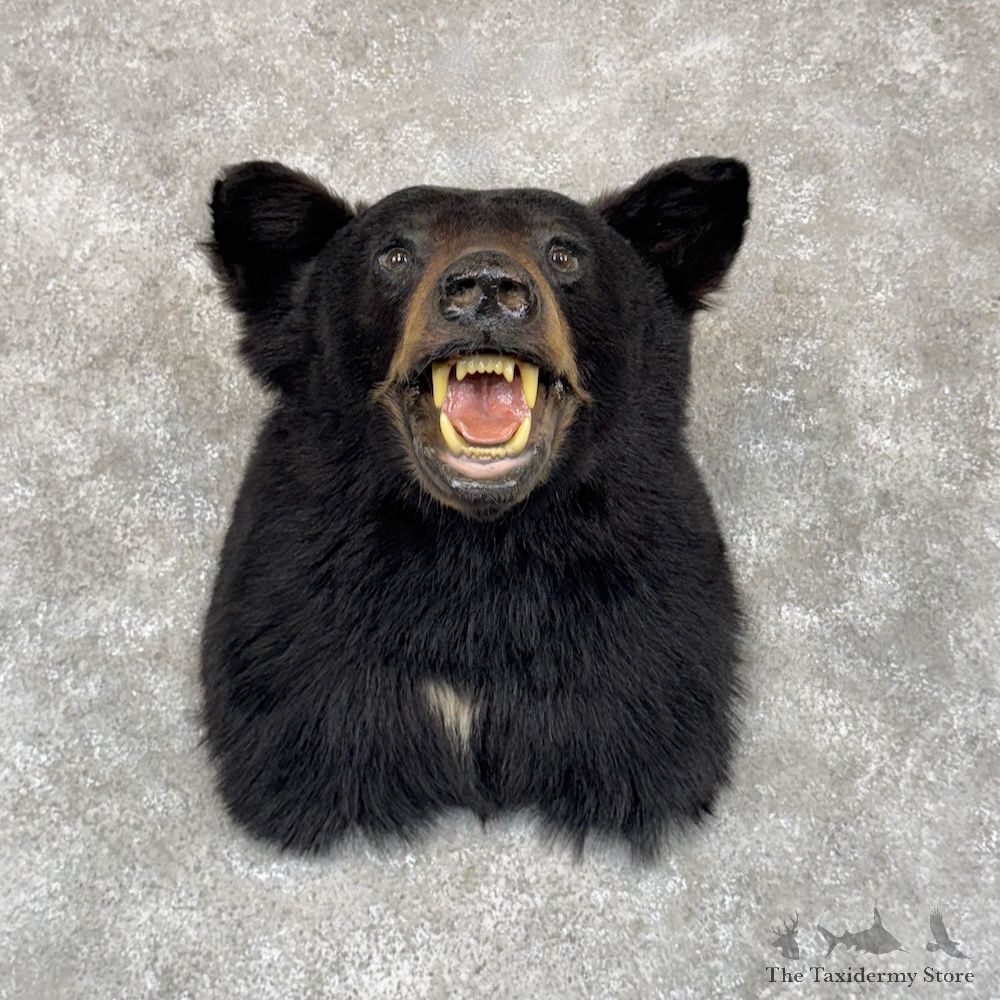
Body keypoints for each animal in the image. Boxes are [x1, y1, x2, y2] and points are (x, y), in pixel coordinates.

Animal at [200, 155, 750, 860]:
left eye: (565, 254)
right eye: (395, 254)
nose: (487, 289)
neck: (474, 542)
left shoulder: (642, 615)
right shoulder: (293, 604)